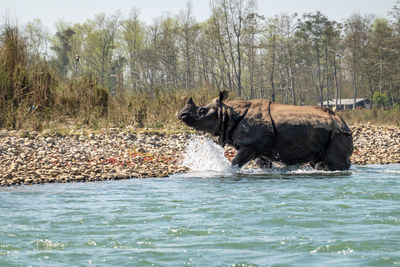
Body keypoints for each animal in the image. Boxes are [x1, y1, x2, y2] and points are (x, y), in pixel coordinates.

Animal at [178, 92, 354, 172]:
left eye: (201, 111)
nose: (181, 114)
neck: (227, 112)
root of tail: (344, 122)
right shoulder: (257, 148)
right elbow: (263, 165)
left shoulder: (250, 144)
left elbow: (235, 162)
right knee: (319, 160)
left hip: (339, 132)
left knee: (334, 160)